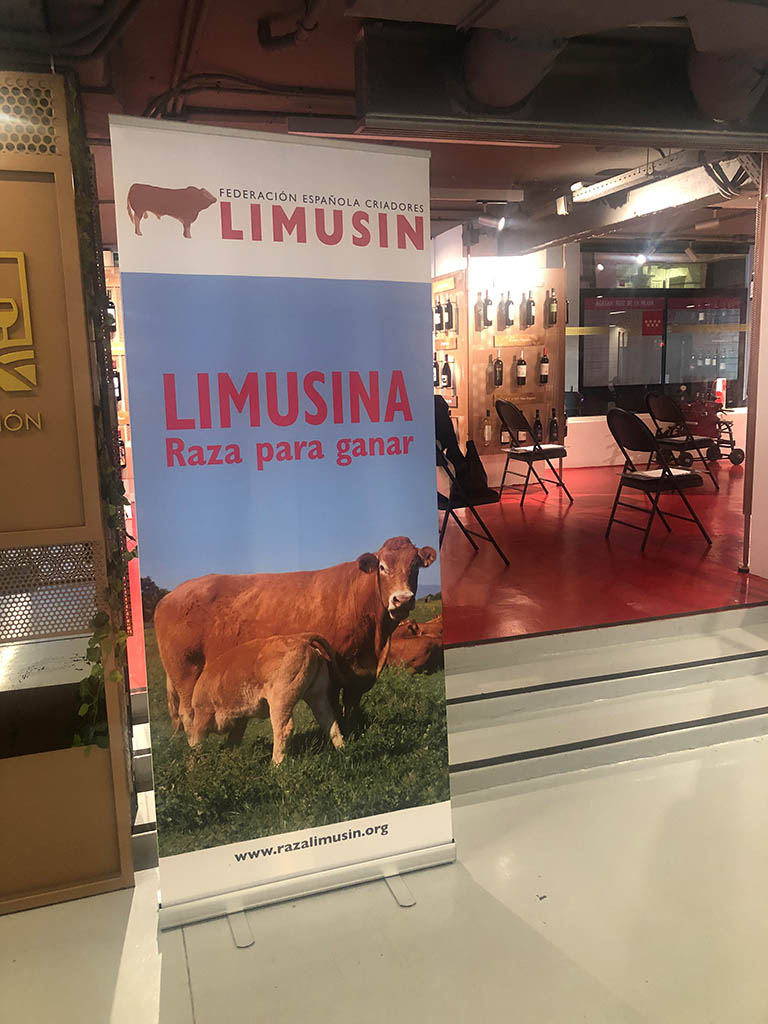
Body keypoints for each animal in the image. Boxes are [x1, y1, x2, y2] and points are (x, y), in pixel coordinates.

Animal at [154, 536, 437, 737]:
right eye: (382, 566)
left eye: (415, 566)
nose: (403, 599)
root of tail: (172, 594)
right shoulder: (332, 669)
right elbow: (333, 707)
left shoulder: (359, 674)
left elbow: (351, 706)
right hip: (185, 672)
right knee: (188, 713)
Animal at [188, 634, 343, 764]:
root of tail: (302, 639)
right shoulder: (240, 720)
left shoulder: (202, 716)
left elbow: (196, 745)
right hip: (318, 697)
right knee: (329, 722)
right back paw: (342, 749)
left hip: (280, 701)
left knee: (283, 729)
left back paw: (275, 764)